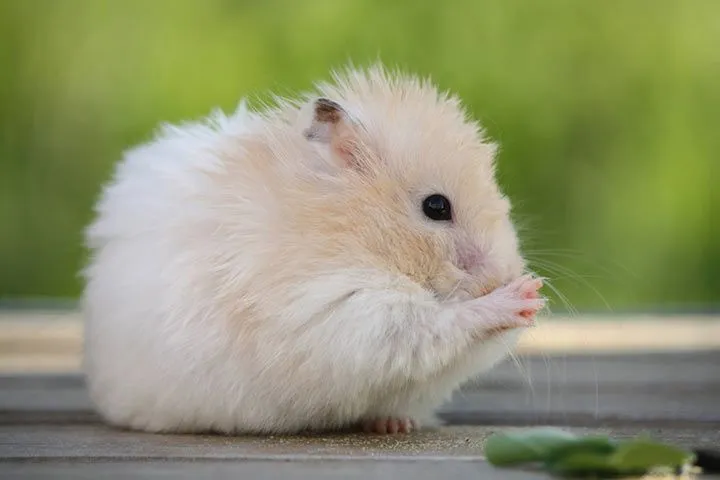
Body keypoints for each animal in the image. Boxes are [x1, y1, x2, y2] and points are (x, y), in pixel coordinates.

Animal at [81, 64, 545, 435]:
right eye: (436, 207)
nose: (505, 272)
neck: (357, 233)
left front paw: (532, 292)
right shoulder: (343, 312)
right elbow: (432, 325)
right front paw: (524, 296)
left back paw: (392, 423)